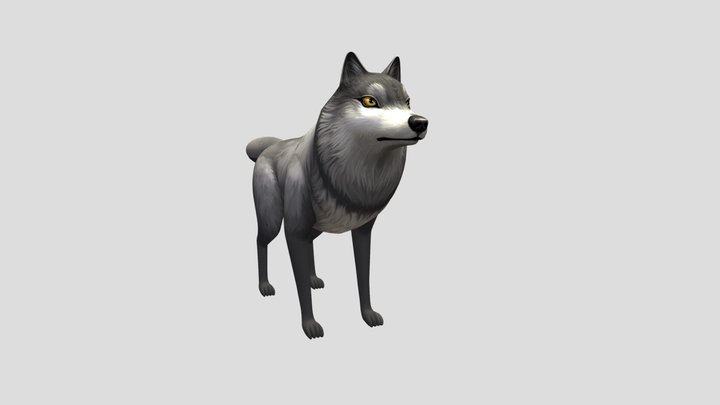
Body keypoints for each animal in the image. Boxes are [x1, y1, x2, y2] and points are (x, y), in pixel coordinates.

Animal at [246, 52, 428, 339]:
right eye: (370, 101)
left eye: (408, 102)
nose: (420, 122)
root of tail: (268, 147)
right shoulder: (293, 233)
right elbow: (301, 290)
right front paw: (309, 325)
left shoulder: (363, 232)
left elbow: (363, 279)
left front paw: (367, 315)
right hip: (272, 223)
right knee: (259, 242)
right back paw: (264, 285)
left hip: (315, 229)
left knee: (308, 249)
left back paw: (313, 278)